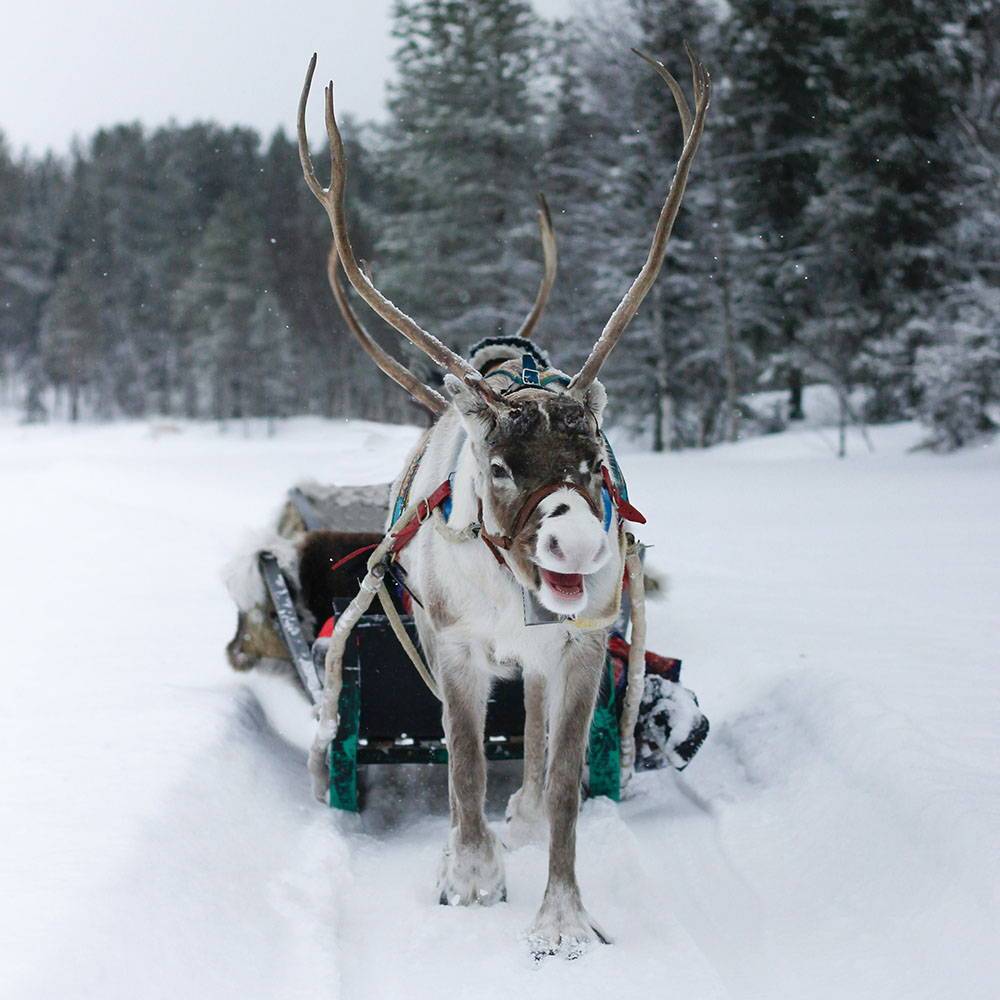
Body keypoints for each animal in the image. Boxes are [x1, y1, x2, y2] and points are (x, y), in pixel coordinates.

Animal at [297, 44, 709, 960]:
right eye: (499, 465)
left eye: (592, 461)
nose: (579, 549)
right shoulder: (452, 646)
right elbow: (462, 762)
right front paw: (471, 876)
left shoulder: (581, 648)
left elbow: (561, 778)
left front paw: (561, 919)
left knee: (535, 735)